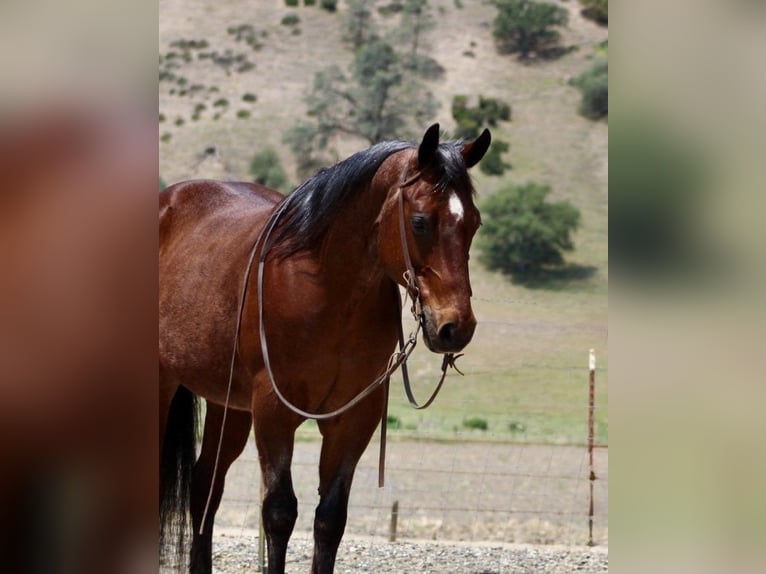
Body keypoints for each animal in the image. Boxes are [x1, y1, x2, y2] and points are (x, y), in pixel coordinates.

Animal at [159, 123, 491, 574]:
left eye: (473, 222)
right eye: (420, 222)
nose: (456, 327)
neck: (327, 288)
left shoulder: (353, 418)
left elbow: (330, 519)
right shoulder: (273, 411)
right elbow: (279, 512)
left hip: (228, 407)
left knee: (204, 486)